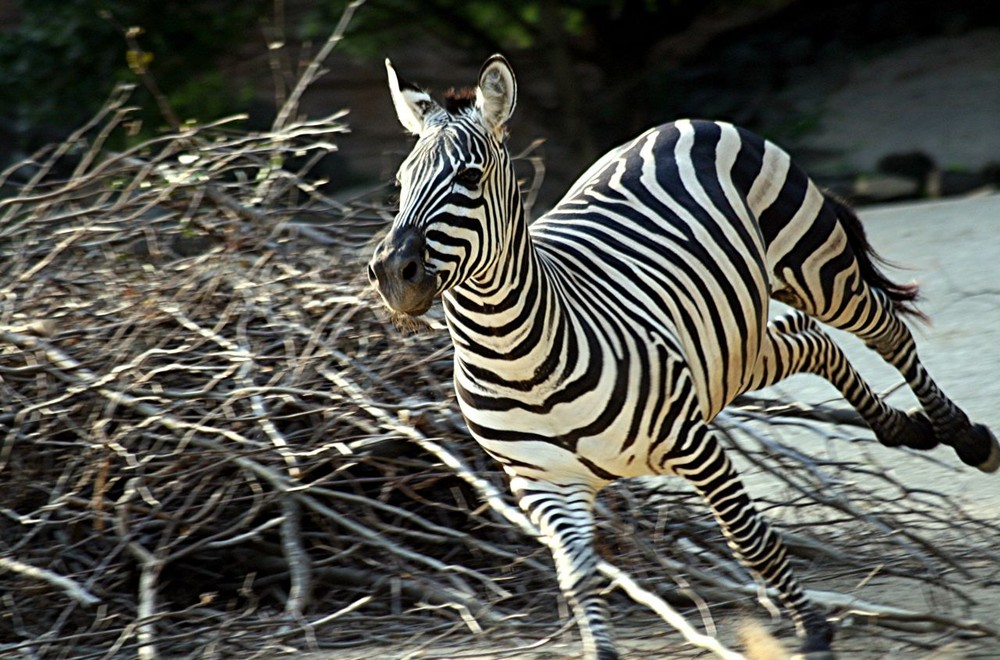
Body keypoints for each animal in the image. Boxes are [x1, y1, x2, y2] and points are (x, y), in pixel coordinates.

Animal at [368, 54, 1000, 656]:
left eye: (470, 177)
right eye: (400, 181)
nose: (392, 274)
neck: (518, 362)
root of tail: (679, 123)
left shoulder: (694, 445)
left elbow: (749, 539)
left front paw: (815, 631)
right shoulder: (542, 486)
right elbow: (579, 580)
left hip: (817, 269)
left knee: (886, 333)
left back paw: (964, 436)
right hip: (730, 352)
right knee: (810, 341)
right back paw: (902, 428)